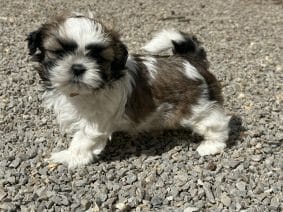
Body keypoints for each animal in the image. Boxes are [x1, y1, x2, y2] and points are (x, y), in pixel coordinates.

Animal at [26, 13, 231, 169]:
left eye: (98, 58)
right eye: (60, 52)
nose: (78, 67)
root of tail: (190, 60)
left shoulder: (96, 120)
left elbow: (83, 138)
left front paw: (70, 156)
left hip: (197, 107)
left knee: (215, 122)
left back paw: (212, 145)